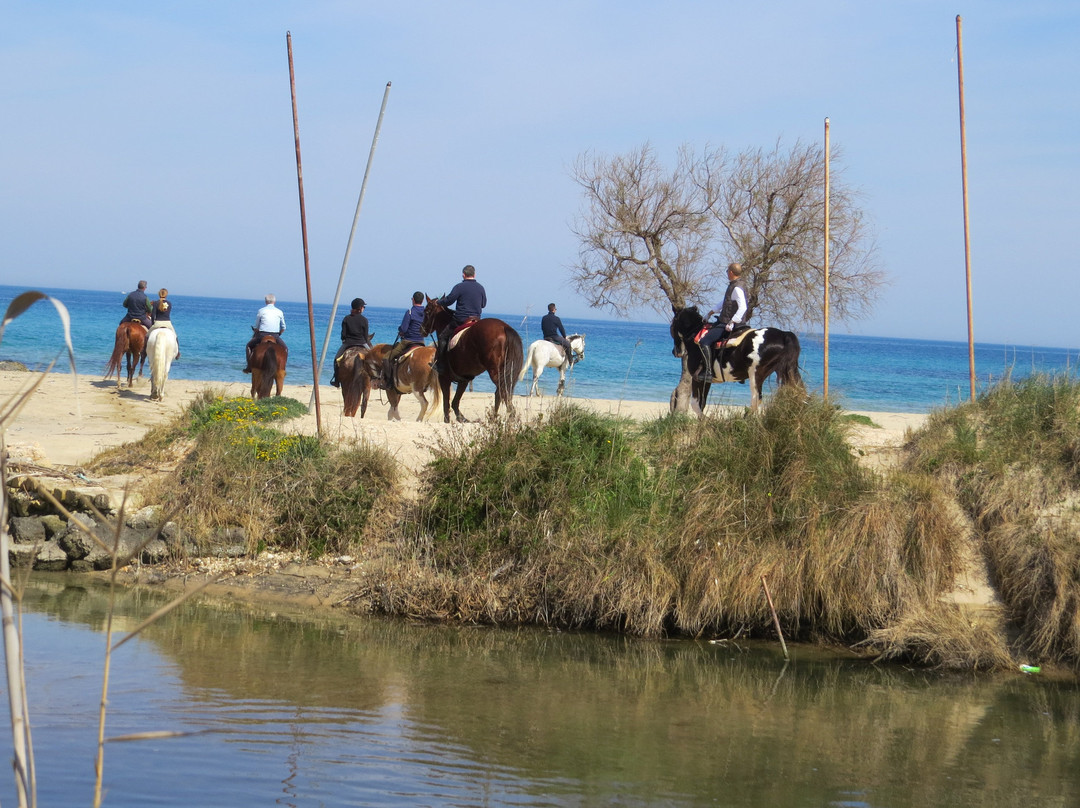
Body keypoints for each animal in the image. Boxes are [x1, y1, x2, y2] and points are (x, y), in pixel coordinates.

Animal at [421, 295, 522, 423]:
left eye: (426, 311)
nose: (422, 329)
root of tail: (504, 327)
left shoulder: (444, 377)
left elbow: (446, 403)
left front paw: (448, 420)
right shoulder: (464, 379)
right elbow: (455, 402)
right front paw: (461, 418)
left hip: (495, 372)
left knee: (502, 391)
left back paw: (509, 416)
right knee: (500, 392)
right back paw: (495, 418)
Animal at [665, 306, 803, 412]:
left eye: (672, 324)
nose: (675, 351)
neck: (696, 336)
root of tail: (783, 334)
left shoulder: (697, 378)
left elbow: (696, 404)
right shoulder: (706, 381)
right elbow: (701, 404)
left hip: (756, 374)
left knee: (756, 400)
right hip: (785, 371)